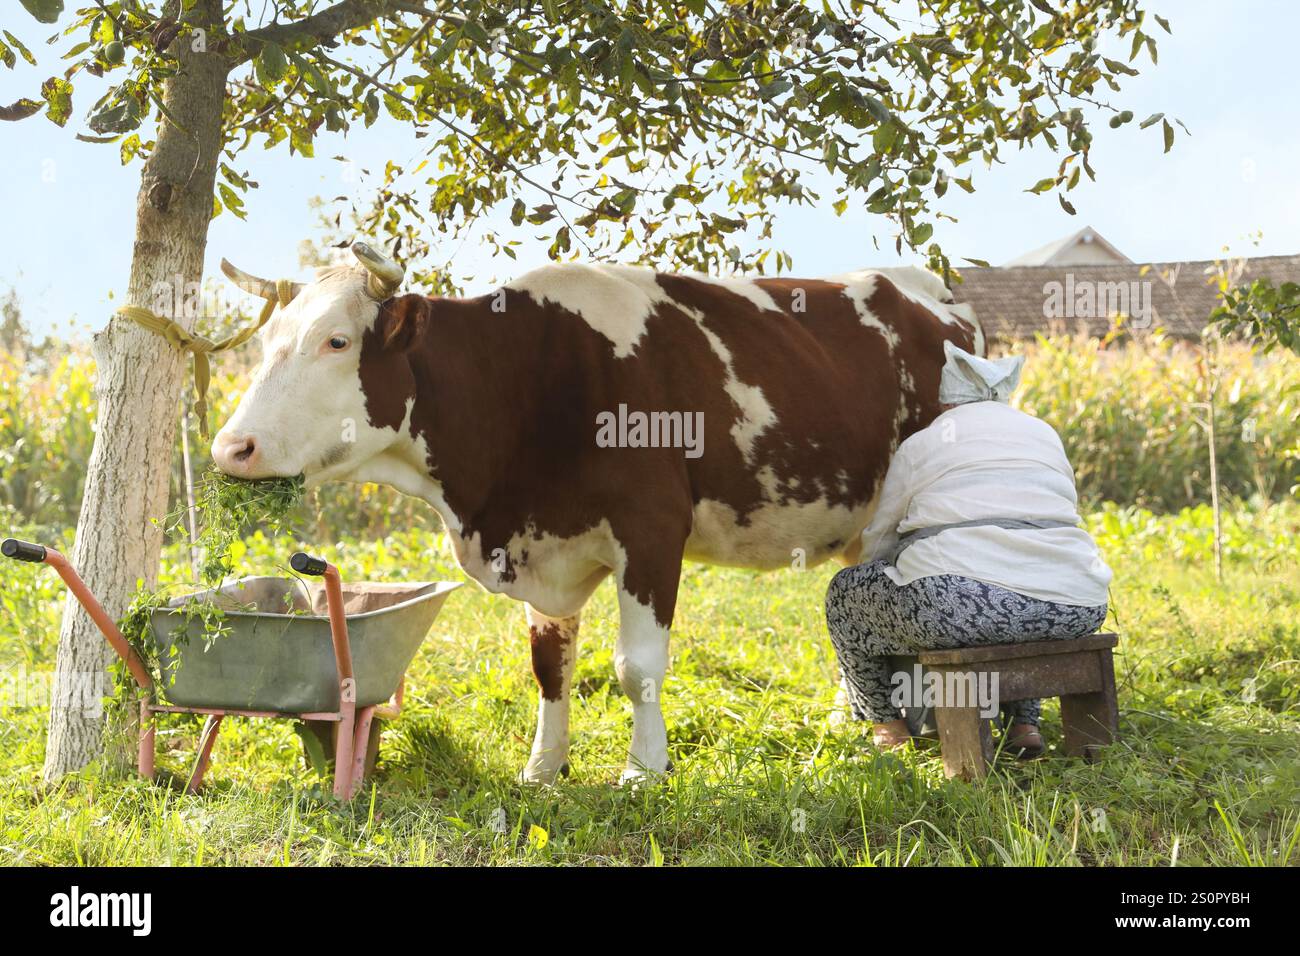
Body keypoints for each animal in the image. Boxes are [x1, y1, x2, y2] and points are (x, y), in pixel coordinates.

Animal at [212, 242, 983, 785]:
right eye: (265, 343)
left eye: (337, 341)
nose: (230, 447)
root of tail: (930, 286)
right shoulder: (542, 548)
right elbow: (549, 668)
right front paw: (543, 768)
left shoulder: (652, 532)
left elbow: (636, 668)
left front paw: (644, 769)